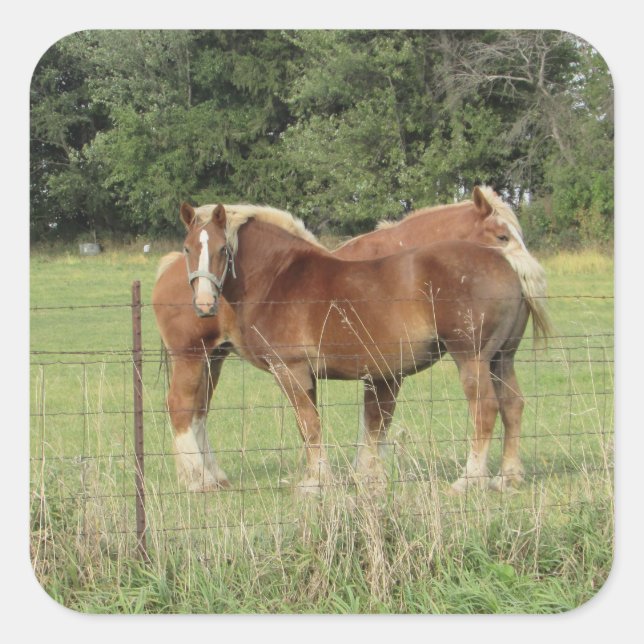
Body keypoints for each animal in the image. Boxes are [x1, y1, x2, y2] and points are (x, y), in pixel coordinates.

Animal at [152, 187, 550, 493]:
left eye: (223, 250)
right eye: (189, 248)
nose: (205, 302)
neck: (281, 276)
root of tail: (506, 266)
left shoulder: (297, 371)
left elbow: (325, 424)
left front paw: (321, 482)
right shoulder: (341, 374)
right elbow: (345, 424)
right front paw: (346, 477)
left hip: (474, 358)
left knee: (487, 409)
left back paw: (471, 480)